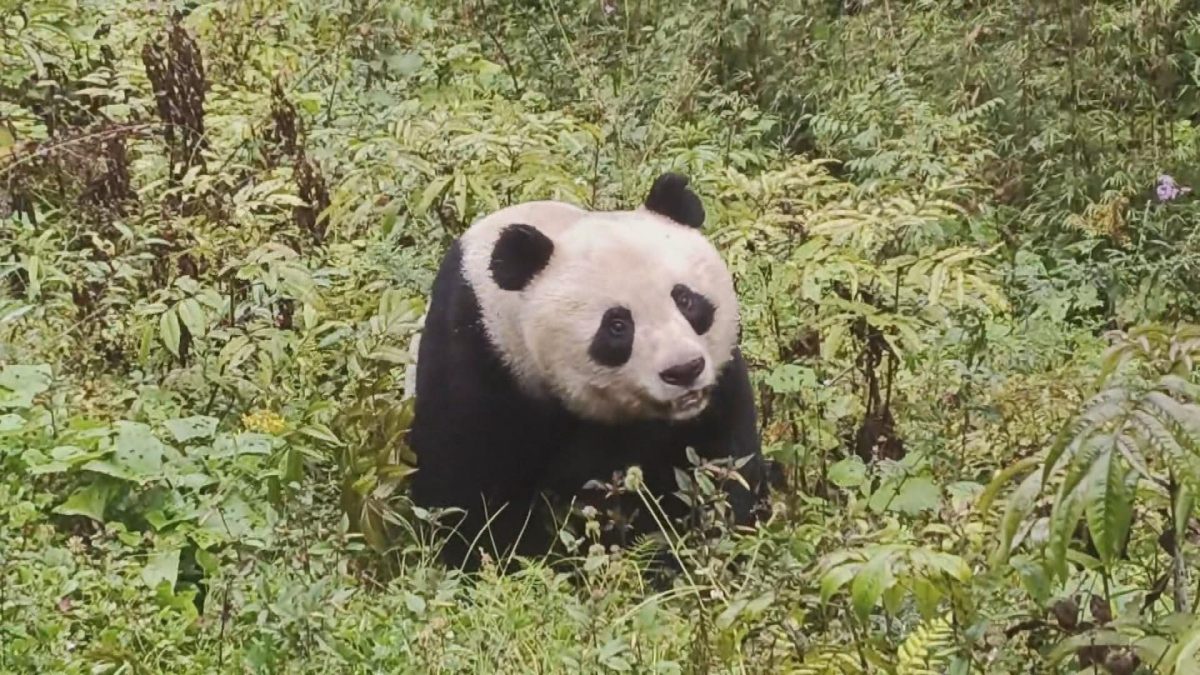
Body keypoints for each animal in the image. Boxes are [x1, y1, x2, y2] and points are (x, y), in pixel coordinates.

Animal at [408, 173, 769, 572]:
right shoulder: (477, 357)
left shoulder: (717, 393)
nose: (683, 370)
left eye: (686, 300)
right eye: (617, 326)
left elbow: (722, 468)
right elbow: (465, 491)